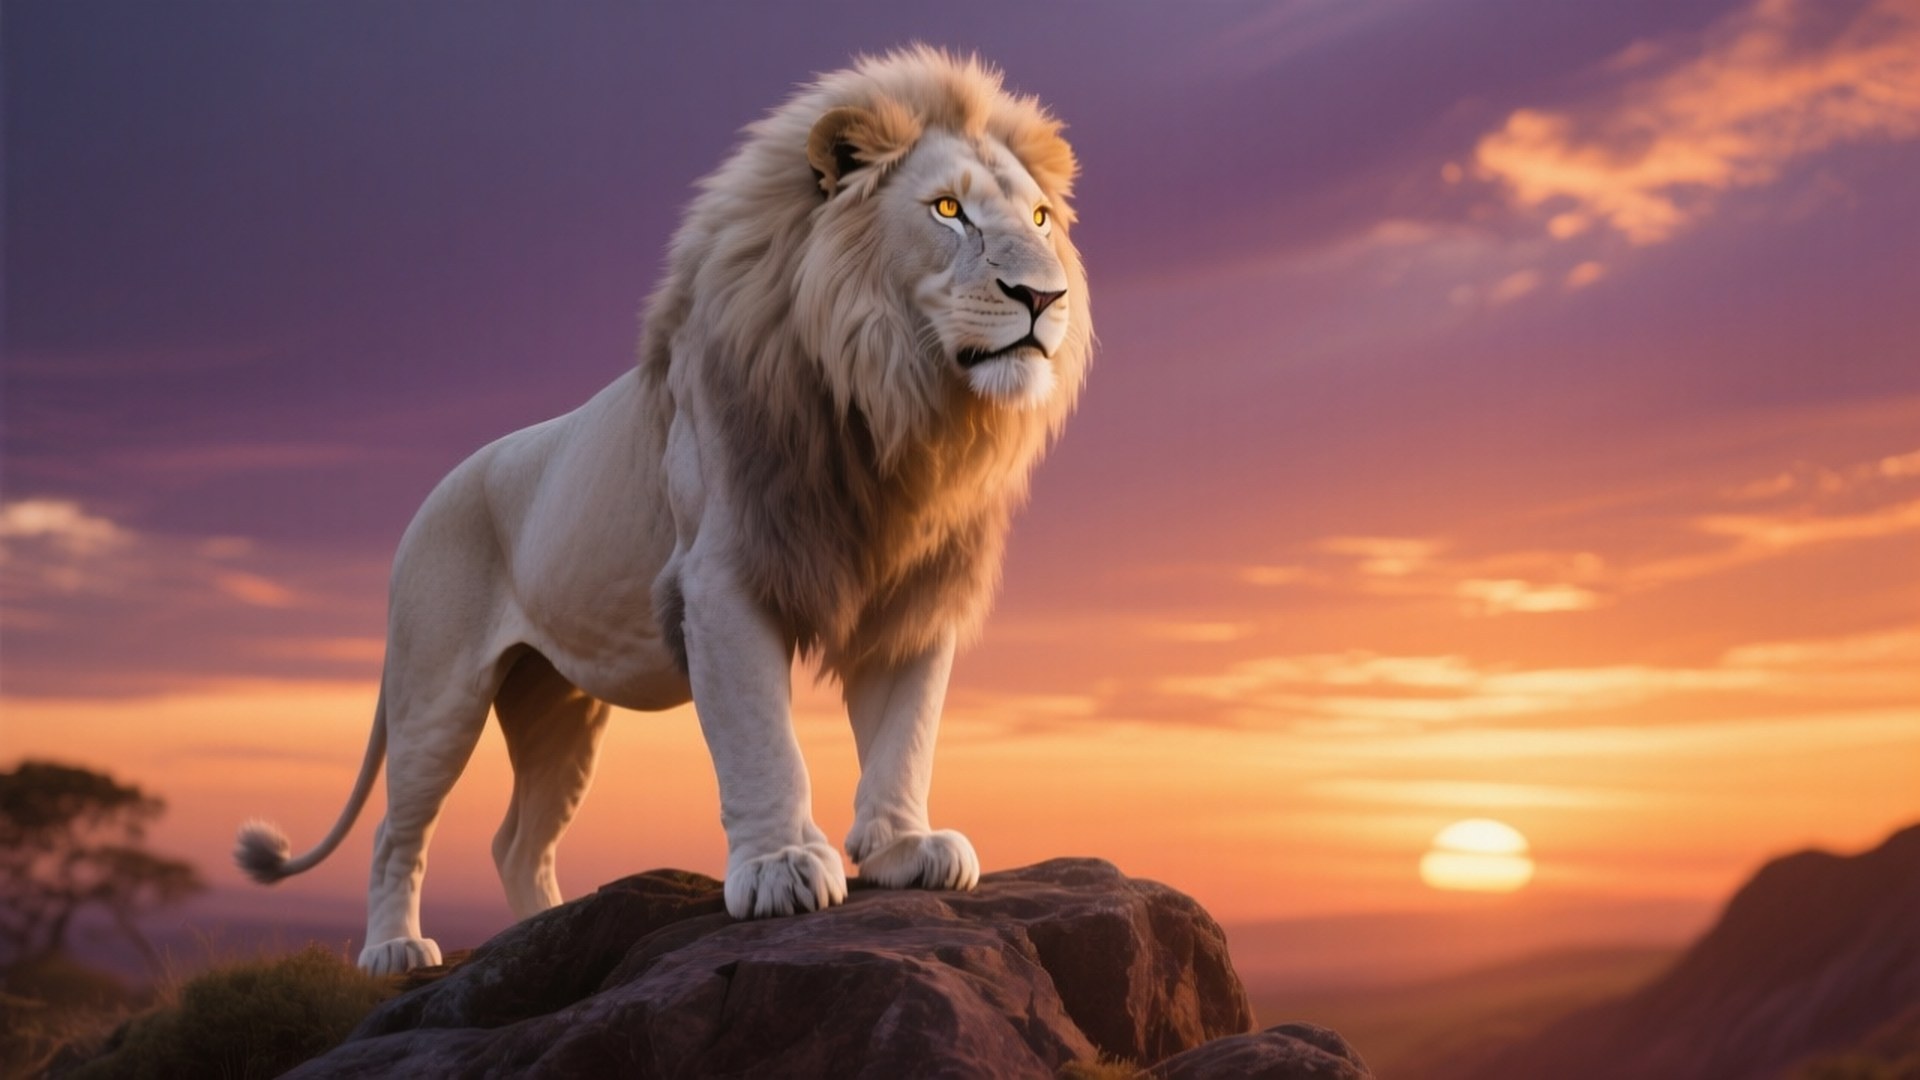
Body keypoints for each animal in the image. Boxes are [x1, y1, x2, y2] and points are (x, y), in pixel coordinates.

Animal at [232, 47, 1092, 975]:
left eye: (1041, 217)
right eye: (947, 210)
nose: (1044, 299)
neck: (895, 413)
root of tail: (430, 496)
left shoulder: (916, 589)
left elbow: (907, 730)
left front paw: (903, 849)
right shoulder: (721, 580)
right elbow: (762, 737)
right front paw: (781, 866)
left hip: (557, 709)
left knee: (516, 840)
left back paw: (542, 937)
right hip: (436, 690)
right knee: (398, 829)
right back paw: (395, 950)